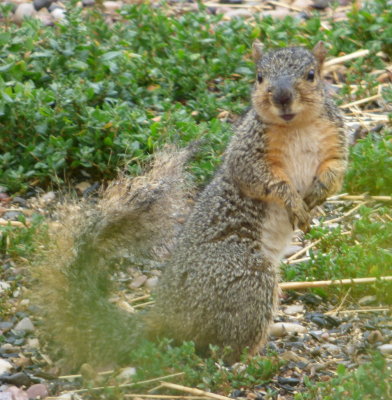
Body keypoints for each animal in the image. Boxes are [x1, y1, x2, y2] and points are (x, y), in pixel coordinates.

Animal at [33, 41, 346, 368]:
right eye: (259, 77)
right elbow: (263, 180)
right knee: (226, 351)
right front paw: (294, 203)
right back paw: (265, 359)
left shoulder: (334, 144)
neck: (296, 127)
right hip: (246, 279)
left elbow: (335, 173)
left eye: (311, 74)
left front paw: (316, 198)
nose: (282, 97)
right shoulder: (248, 153)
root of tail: (167, 316)